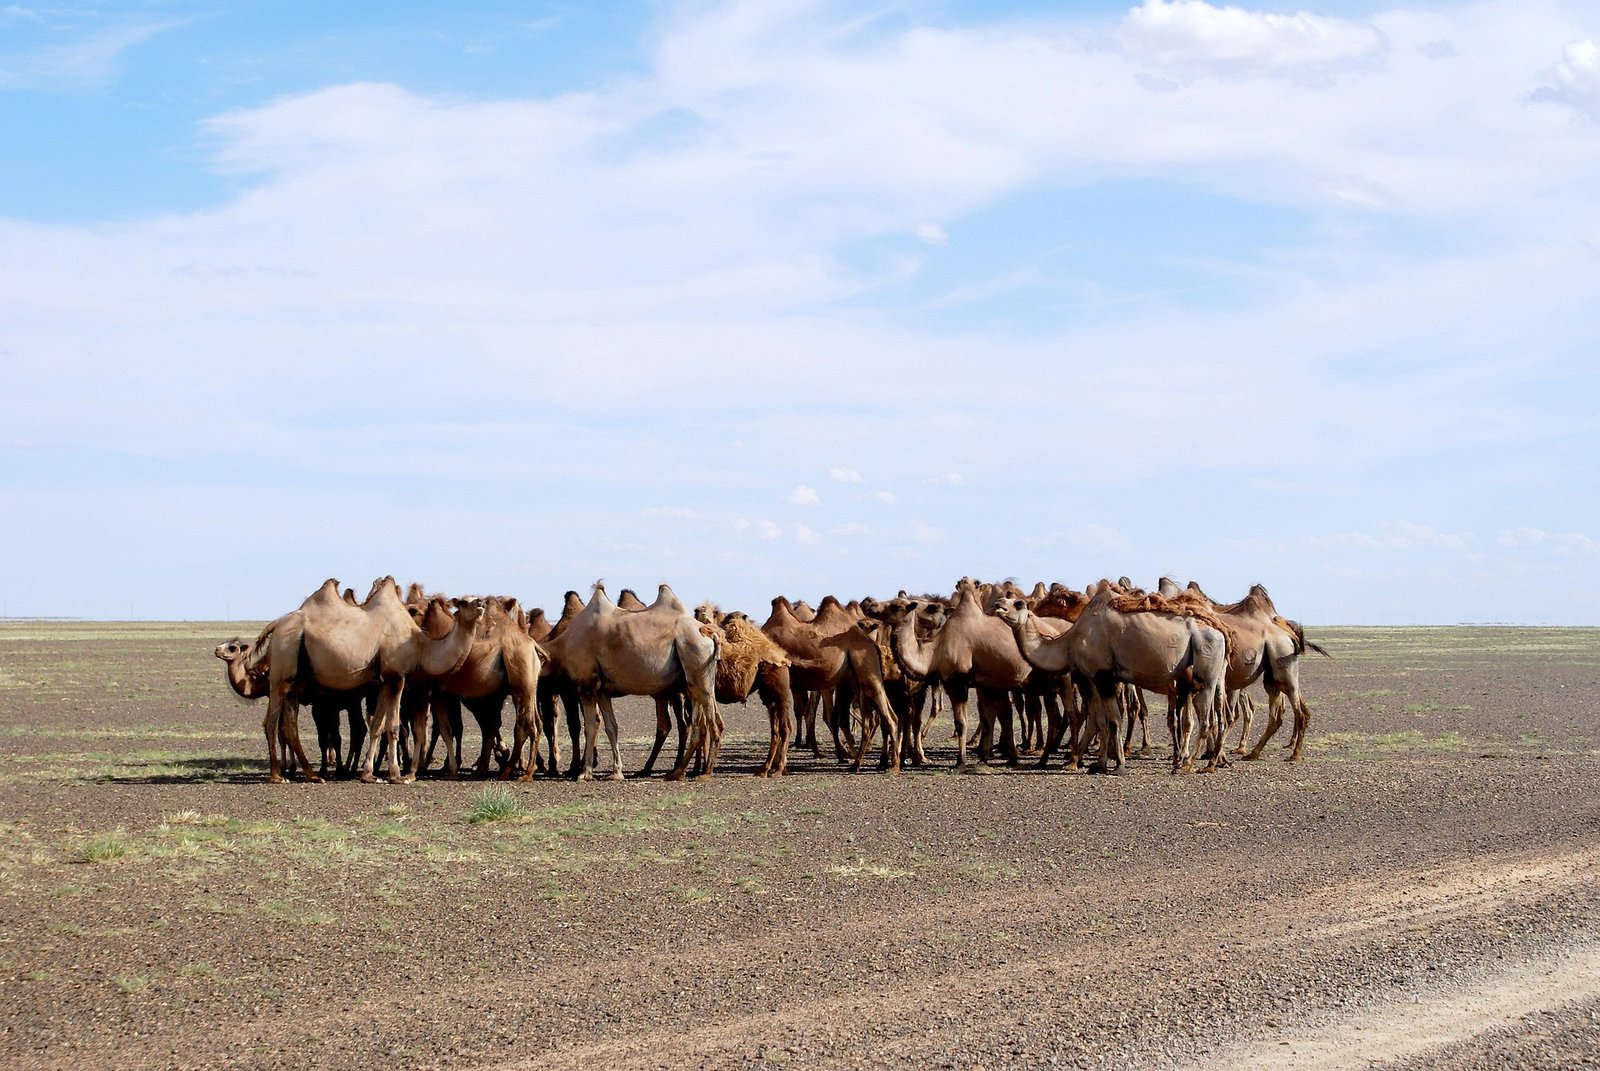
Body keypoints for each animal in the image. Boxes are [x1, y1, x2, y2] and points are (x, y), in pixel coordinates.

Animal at [265, 578, 485, 784]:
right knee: (271, 722)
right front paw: (396, 775)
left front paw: (369, 774)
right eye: (463, 602)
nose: (481, 603)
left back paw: (312, 775)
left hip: (295, 679)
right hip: (282, 665)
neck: (421, 647)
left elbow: (377, 726)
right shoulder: (395, 675)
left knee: (289, 727)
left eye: (477, 598)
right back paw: (277, 775)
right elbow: (393, 726)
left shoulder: (381, 682)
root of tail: (274, 625)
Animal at [541, 583, 720, 782]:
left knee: (711, 723)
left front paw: (584, 773)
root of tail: (709, 634)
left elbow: (590, 726)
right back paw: (677, 772)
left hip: (697, 666)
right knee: (697, 725)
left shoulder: (587, 684)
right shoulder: (602, 691)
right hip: (694, 680)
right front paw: (616, 772)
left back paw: (705, 773)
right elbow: (611, 727)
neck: (560, 649)